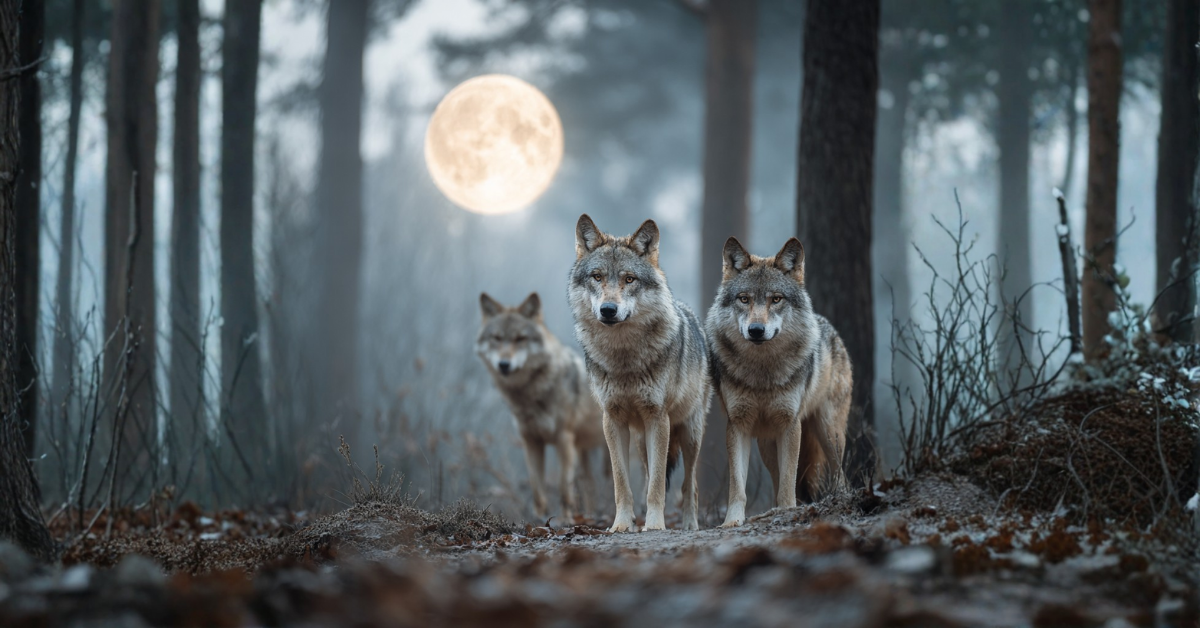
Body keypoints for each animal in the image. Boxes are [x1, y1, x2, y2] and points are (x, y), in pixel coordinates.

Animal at [477, 292, 605, 520]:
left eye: (520, 338)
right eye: (497, 338)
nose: (504, 364)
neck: (531, 394)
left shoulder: (564, 439)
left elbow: (564, 487)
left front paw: (566, 521)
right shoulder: (531, 441)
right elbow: (537, 488)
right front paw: (540, 520)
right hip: (585, 453)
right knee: (590, 486)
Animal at [568, 215, 711, 532]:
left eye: (629, 279)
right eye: (597, 277)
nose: (609, 310)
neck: (624, 358)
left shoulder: (657, 417)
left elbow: (658, 484)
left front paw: (655, 525)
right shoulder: (613, 420)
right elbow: (622, 483)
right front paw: (622, 524)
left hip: (690, 433)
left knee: (690, 485)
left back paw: (689, 524)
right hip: (641, 439)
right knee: (648, 475)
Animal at [705, 237, 851, 527]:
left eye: (776, 299)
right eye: (744, 299)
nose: (756, 330)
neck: (763, 374)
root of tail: (830, 327)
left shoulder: (790, 424)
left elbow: (788, 481)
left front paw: (787, 512)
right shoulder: (738, 425)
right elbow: (738, 485)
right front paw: (732, 521)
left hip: (829, 432)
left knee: (840, 474)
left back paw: (839, 500)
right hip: (766, 444)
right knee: (776, 476)